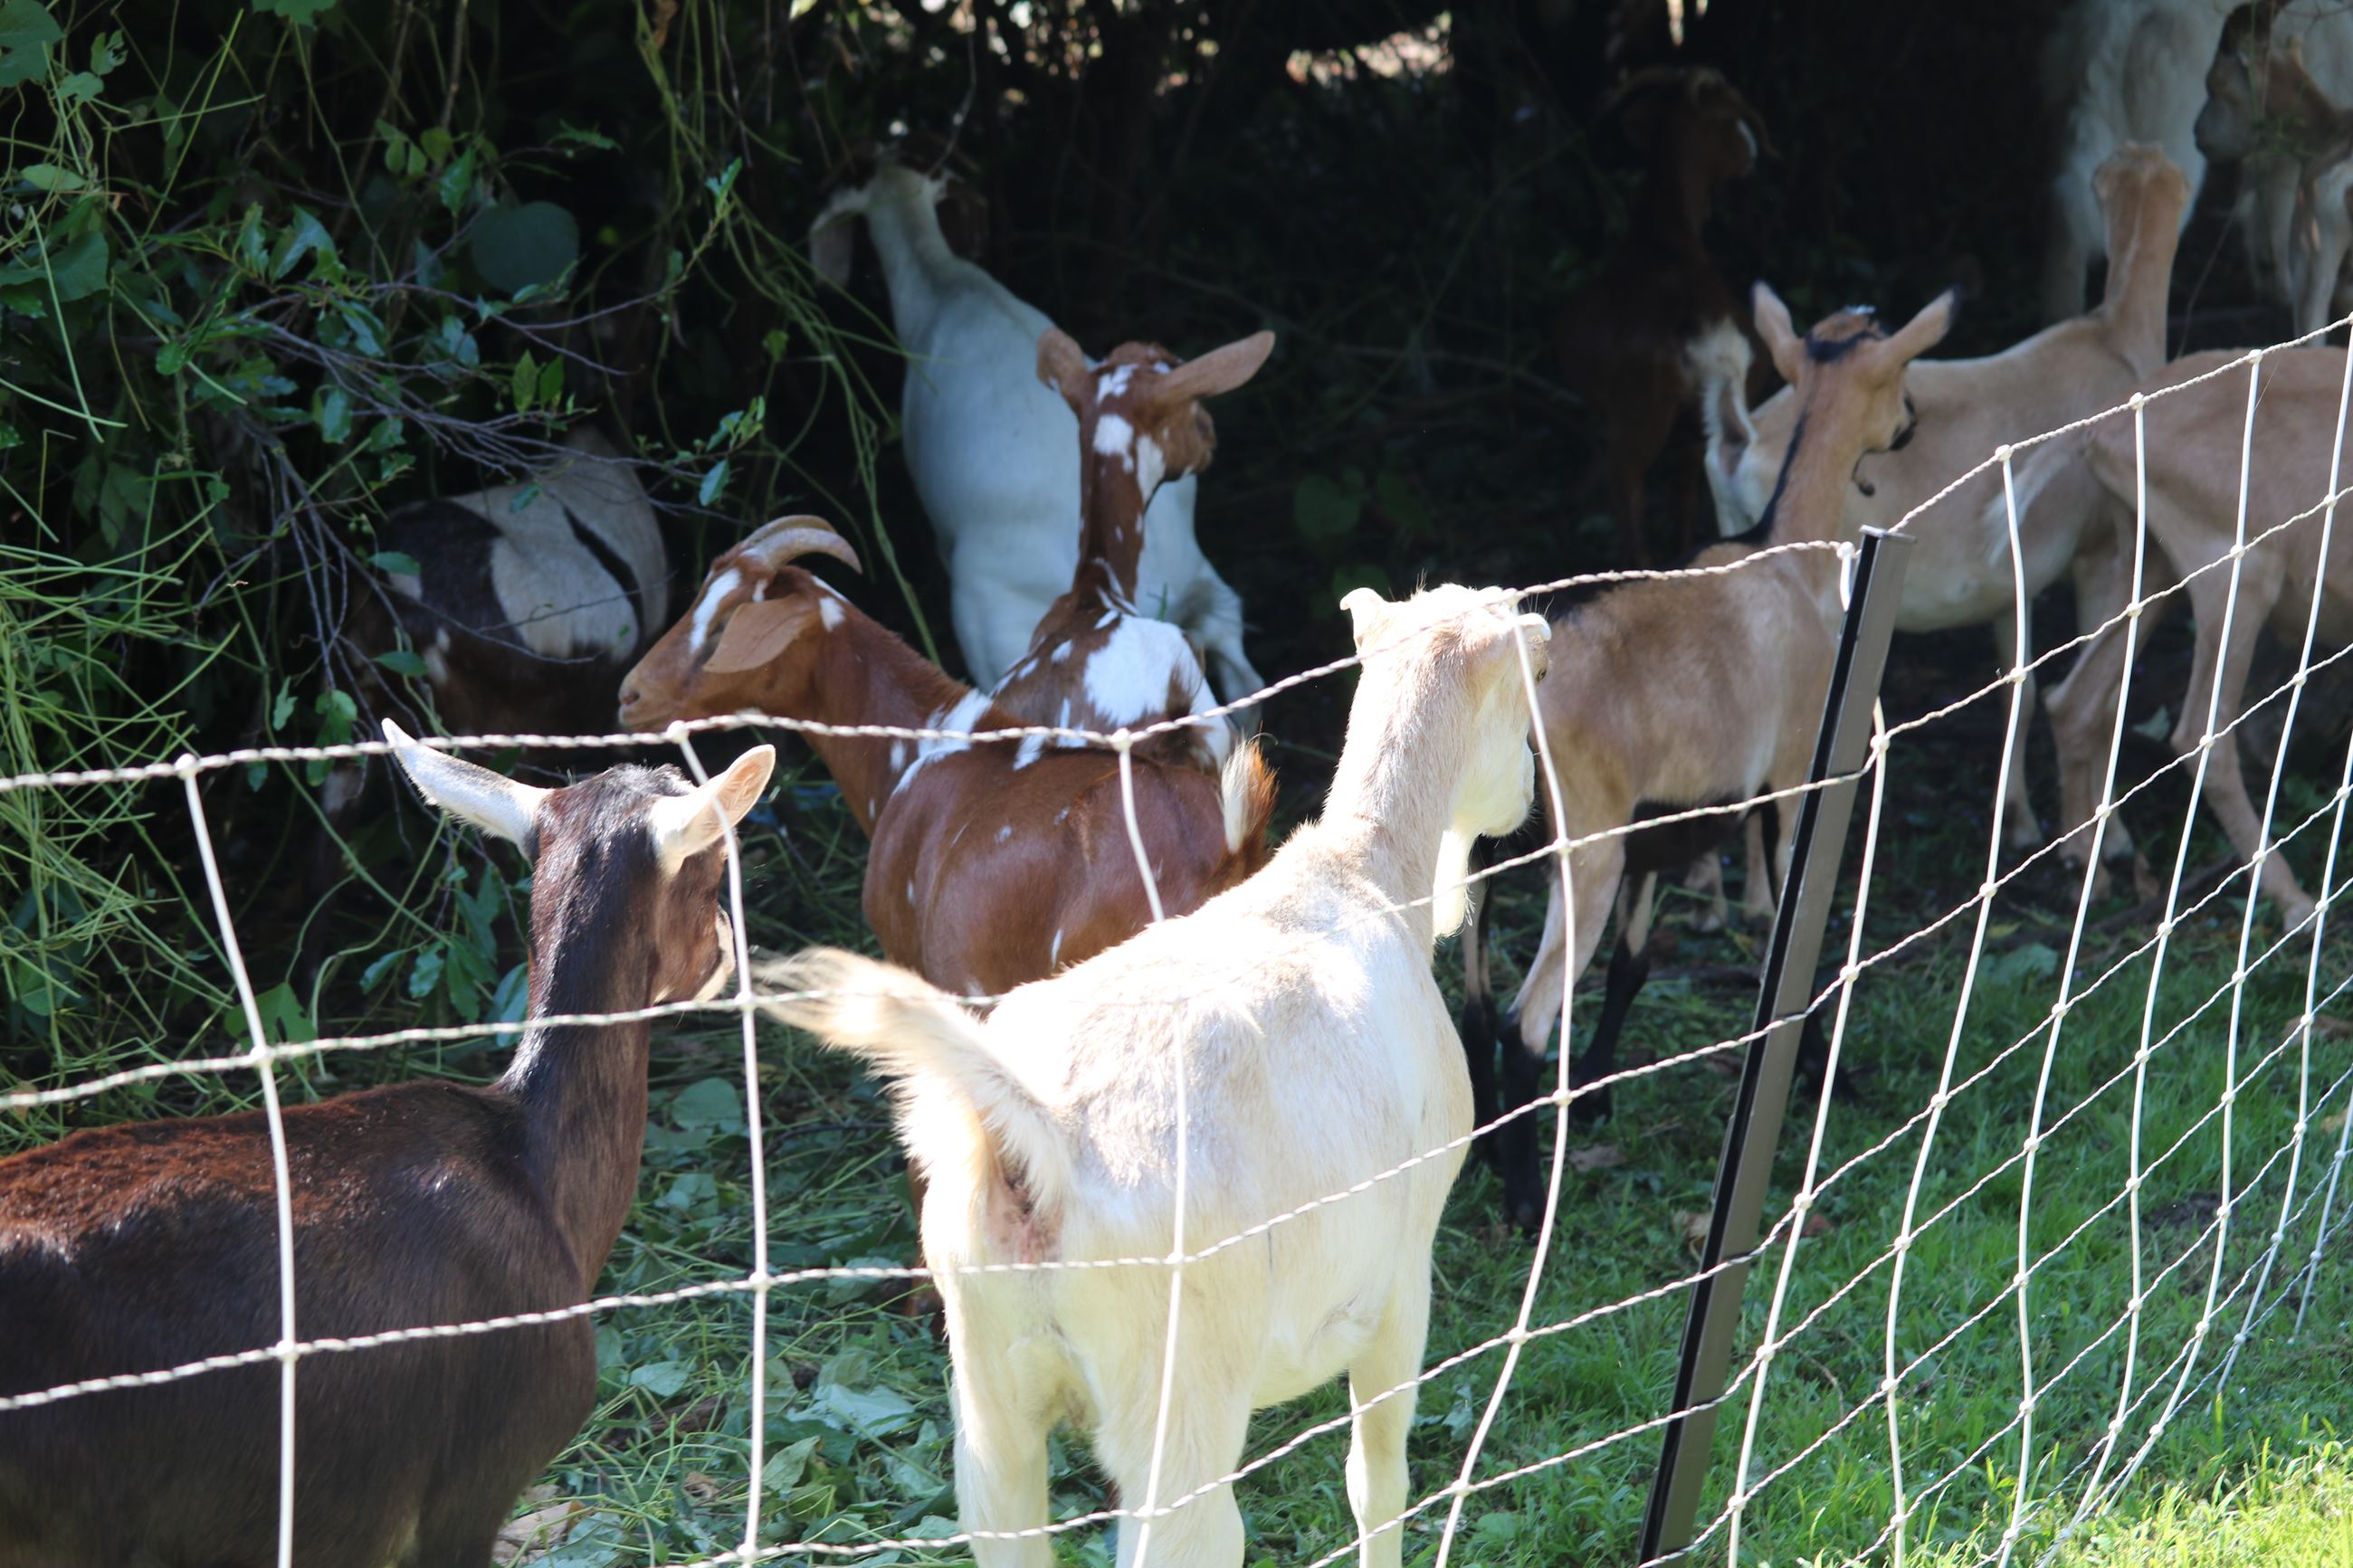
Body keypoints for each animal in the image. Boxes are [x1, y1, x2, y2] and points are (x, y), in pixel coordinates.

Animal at [759, 582, 1549, 1568]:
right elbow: (1377, 1482)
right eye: (1535, 672)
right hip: (1174, 1399)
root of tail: (1038, 1141)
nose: (1527, 793)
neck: (1363, 874)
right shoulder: (1402, 1279)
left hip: (990, 1389)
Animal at [1463, 286, 1955, 1231]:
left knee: (1469, 1007)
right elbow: (1788, 938)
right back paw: (1525, 1201)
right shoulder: (1797, 771)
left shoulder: (1668, 819)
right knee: (1521, 1024)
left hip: (1475, 857)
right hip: (1583, 850)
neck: (1783, 551)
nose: (1913, 422)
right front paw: (1822, 1081)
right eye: (1900, 364)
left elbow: (1634, 963)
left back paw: (1475, 1157)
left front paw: (1601, 1093)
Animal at [1554, 65, 1774, 567]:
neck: (1664, 233)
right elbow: (1684, 499)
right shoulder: (1693, 434)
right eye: (1732, 120)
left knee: (1629, 502)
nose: (1753, 152)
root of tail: (1693, 326)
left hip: (1639, 417)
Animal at [1703, 145, 2189, 880]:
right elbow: (2101, 695)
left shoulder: (2010, 585)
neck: (2113, 341)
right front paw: (2107, 840)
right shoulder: (2103, 549)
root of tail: (1740, 436)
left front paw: (2019, 822)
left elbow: (2018, 688)